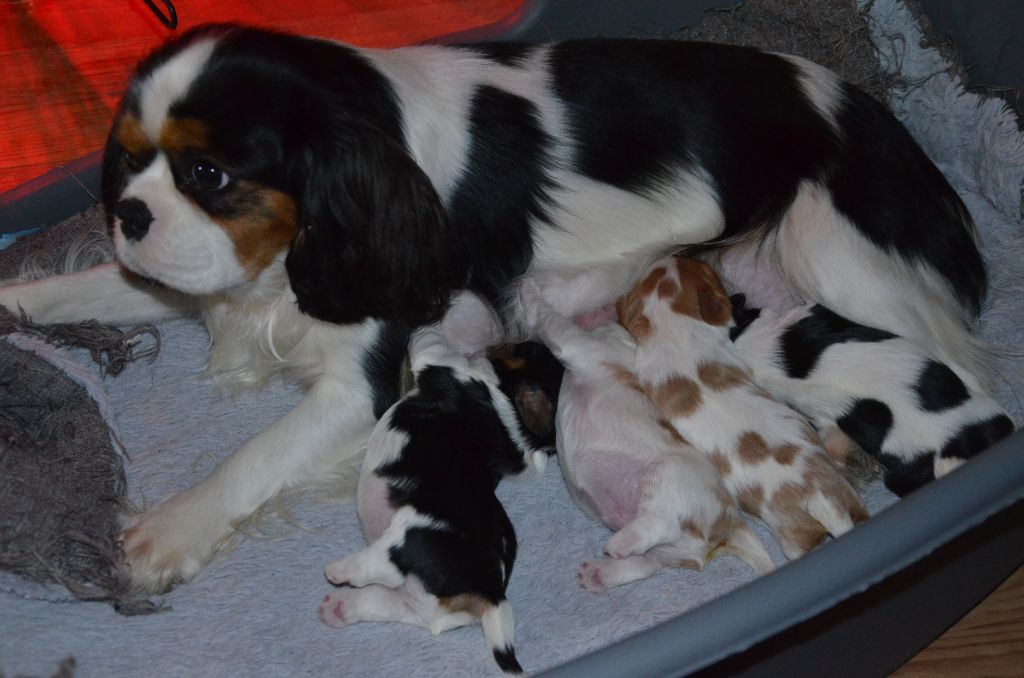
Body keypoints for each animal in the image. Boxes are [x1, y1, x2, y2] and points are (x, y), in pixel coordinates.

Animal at [321, 315, 548, 675]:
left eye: (529, 350)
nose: (528, 336)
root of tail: (491, 592)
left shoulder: (440, 360)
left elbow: (431, 338)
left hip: (409, 533)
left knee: (379, 564)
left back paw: (339, 572)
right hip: (421, 606)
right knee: (383, 601)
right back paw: (337, 608)